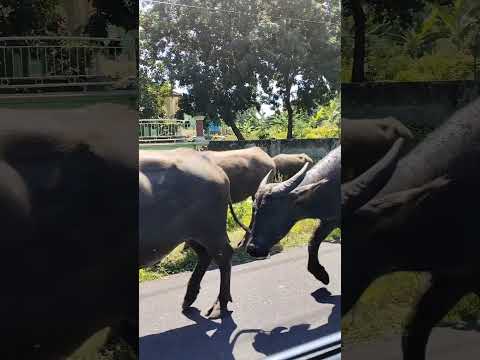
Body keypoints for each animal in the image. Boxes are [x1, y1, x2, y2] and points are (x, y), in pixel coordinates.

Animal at [139, 148, 236, 320]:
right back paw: (189, 298)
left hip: (211, 230)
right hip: (193, 234)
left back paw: (219, 305)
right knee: (205, 255)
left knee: (223, 256)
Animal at [244, 146, 342, 284]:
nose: (252, 249)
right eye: (255, 209)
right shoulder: (330, 220)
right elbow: (313, 241)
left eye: (273, 211)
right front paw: (320, 274)